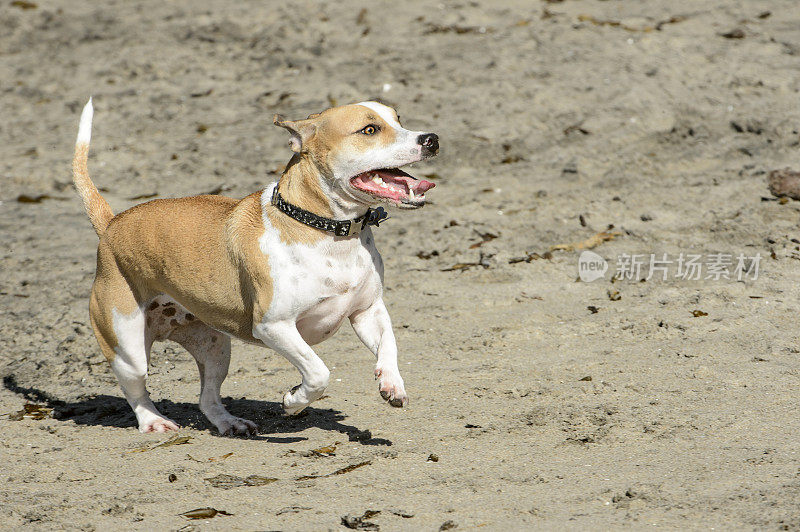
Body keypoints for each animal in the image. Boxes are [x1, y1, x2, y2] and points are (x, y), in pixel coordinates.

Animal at [70, 97, 438, 434]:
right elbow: (318, 372)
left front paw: (391, 384)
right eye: (369, 130)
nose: (431, 139)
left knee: (207, 398)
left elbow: (389, 345)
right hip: (128, 348)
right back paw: (154, 421)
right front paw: (293, 402)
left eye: (399, 120)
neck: (327, 231)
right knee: (136, 389)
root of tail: (112, 224)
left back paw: (230, 423)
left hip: (216, 349)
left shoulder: (367, 311)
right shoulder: (274, 326)